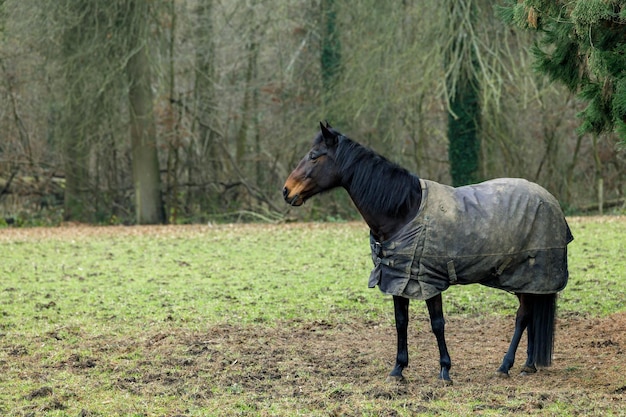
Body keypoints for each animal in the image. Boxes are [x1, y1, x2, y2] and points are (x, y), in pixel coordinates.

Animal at [282, 121, 572, 384]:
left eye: (314, 156)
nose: (286, 191)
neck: (404, 210)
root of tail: (550, 200)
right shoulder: (398, 278)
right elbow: (401, 322)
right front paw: (398, 370)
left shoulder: (429, 279)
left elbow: (437, 323)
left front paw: (445, 371)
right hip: (528, 280)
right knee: (530, 314)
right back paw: (528, 365)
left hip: (529, 275)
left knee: (522, 316)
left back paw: (505, 366)